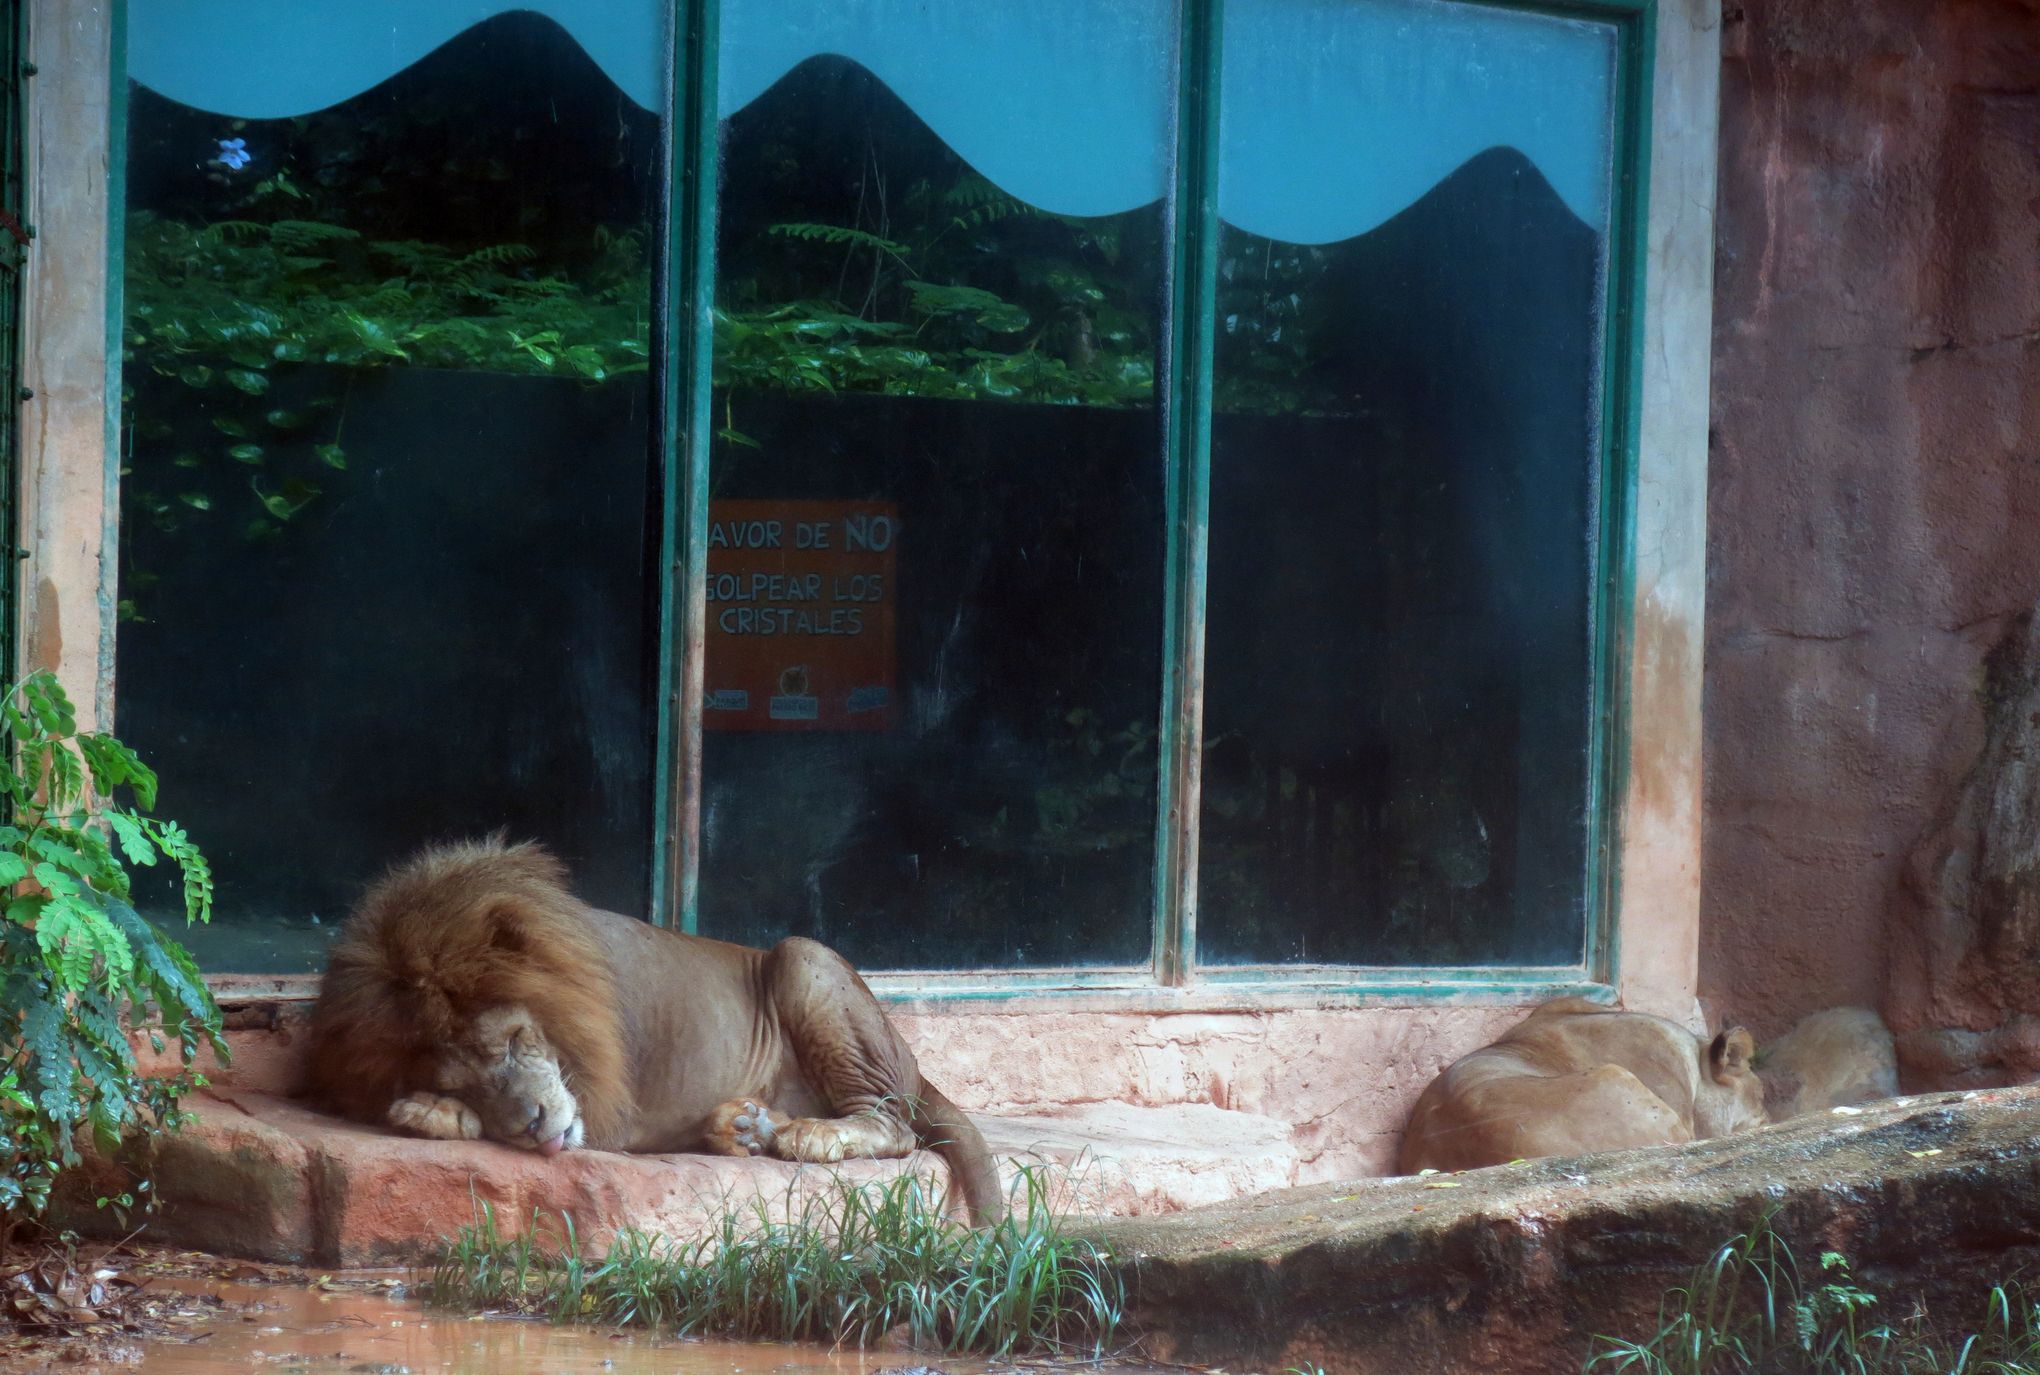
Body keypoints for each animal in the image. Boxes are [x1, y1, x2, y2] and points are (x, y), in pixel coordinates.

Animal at [299, 836, 1003, 1224]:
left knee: (898, 1126)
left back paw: (806, 1135)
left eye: (511, 1042)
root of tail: (915, 1063)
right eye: (461, 1082)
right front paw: (431, 1111)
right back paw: (747, 1128)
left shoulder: (608, 1108)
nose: (533, 1125)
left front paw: (429, 1114)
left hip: (804, 958)